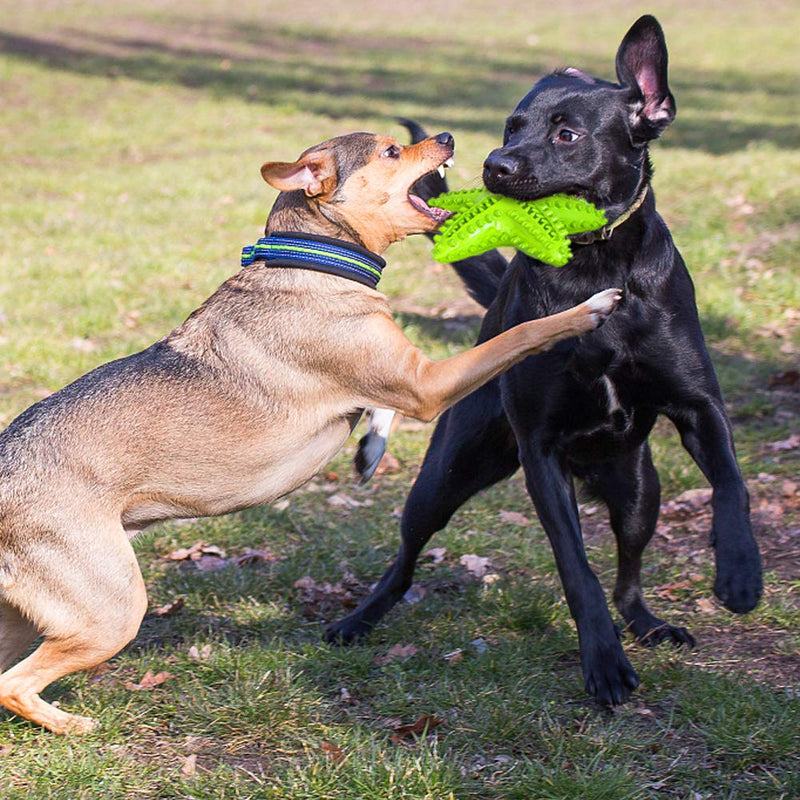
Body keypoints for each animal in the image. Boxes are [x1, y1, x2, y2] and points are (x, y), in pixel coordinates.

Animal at [0, 130, 620, 732]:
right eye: (391, 150)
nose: (445, 136)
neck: (315, 260)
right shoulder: (426, 384)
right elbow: (520, 334)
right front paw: (590, 307)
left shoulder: (400, 380)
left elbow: (378, 410)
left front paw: (370, 451)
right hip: (110, 610)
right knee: (16, 684)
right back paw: (75, 726)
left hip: (26, 616)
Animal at [326, 10, 764, 700]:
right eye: (512, 125)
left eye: (566, 133)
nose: (494, 164)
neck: (595, 263)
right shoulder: (542, 453)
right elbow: (577, 569)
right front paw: (603, 664)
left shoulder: (699, 407)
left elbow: (730, 485)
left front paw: (741, 574)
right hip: (445, 477)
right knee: (405, 559)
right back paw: (359, 618)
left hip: (640, 491)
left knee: (629, 573)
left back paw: (648, 623)